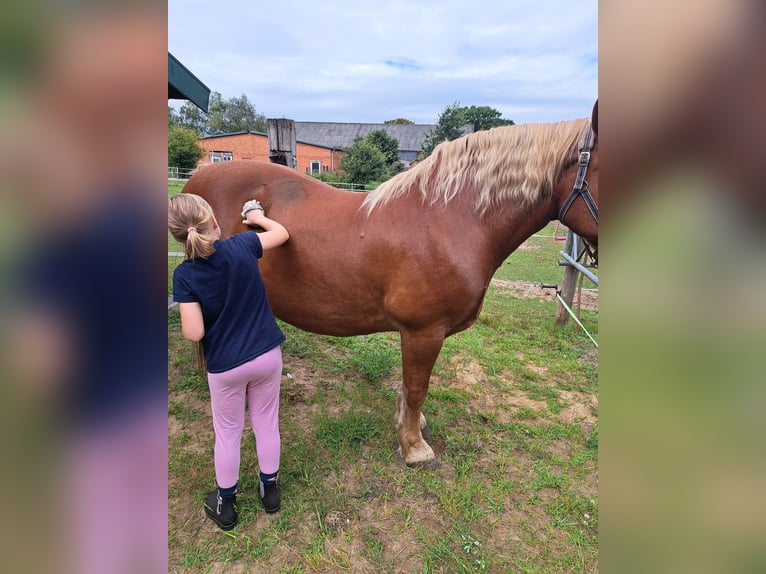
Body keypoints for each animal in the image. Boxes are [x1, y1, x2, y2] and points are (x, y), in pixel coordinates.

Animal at [184, 103, 600, 468]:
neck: (450, 220)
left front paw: (411, 427)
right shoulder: (423, 331)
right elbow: (417, 388)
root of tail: (195, 182)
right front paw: (414, 447)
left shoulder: (416, 334)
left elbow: (407, 385)